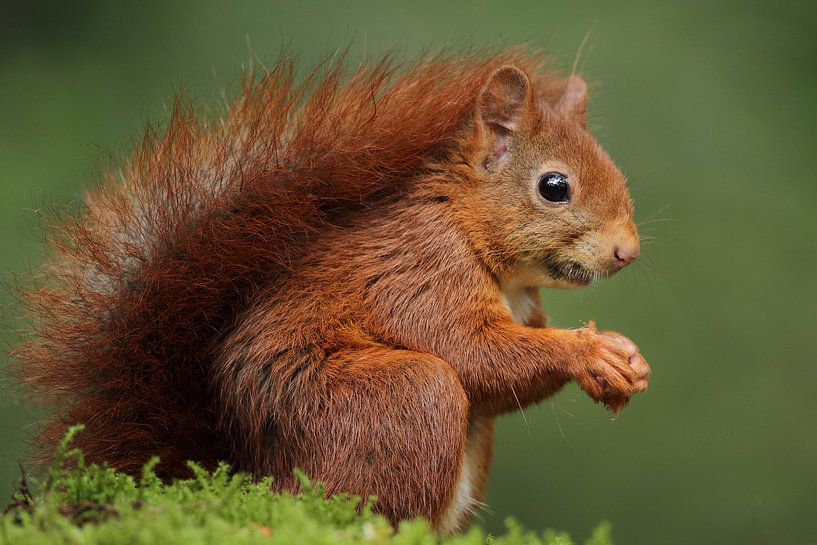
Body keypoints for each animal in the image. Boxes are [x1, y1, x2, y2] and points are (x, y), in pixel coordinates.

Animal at [14, 49, 652, 532]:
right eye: (554, 187)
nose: (628, 252)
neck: (468, 229)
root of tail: (254, 473)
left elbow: (503, 384)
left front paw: (628, 358)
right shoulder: (421, 276)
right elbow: (475, 353)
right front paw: (588, 351)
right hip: (396, 400)